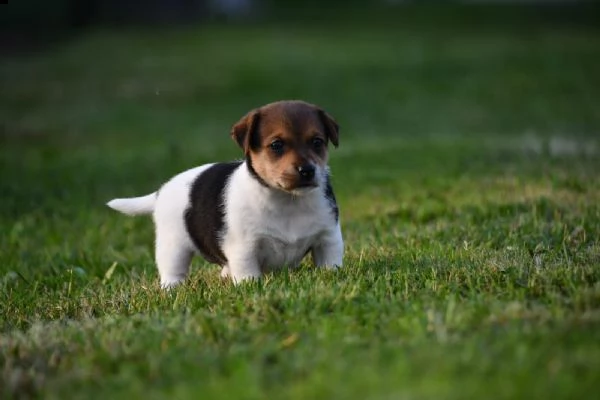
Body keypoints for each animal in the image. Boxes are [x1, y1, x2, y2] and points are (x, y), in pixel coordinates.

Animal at [105, 100, 344, 288]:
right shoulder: (243, 249)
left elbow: (330, 265)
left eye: (317, 142)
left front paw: (332, 277)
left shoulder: (328, 239)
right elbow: (248, 275)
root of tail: (162, 190)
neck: (288, 200)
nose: (307, 171)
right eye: (276, 145)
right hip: (172, 245)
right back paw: (172, 288)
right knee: (172, 270)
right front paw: (251, 288)